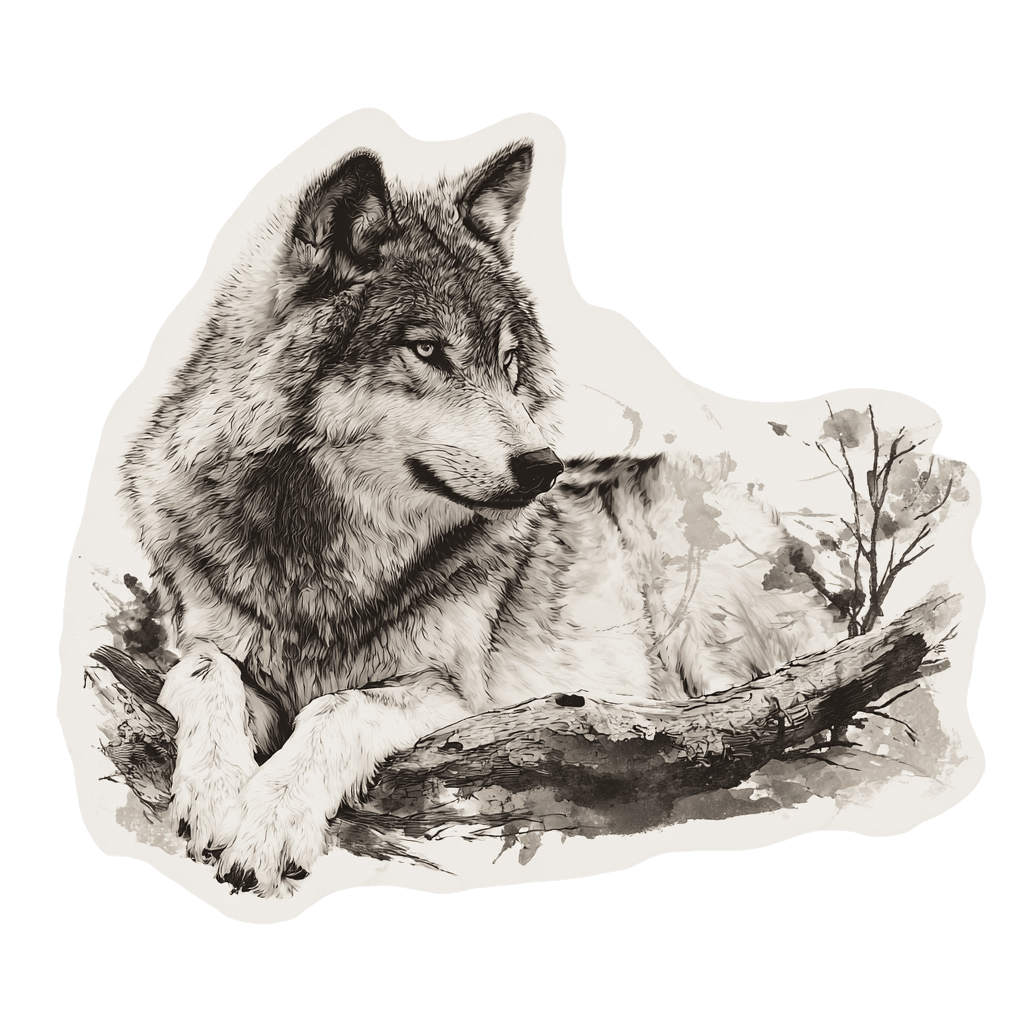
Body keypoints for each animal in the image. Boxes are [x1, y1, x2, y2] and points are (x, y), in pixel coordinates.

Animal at [123, 141, 835, 896]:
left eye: (509, 360)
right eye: (428, 350)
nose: (545, 465)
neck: (329, 570)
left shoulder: (452, 694)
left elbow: (334, 709)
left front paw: (267, 826)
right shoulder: (214, 644)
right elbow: (204, 678)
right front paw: (217, 796)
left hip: (698, 616)